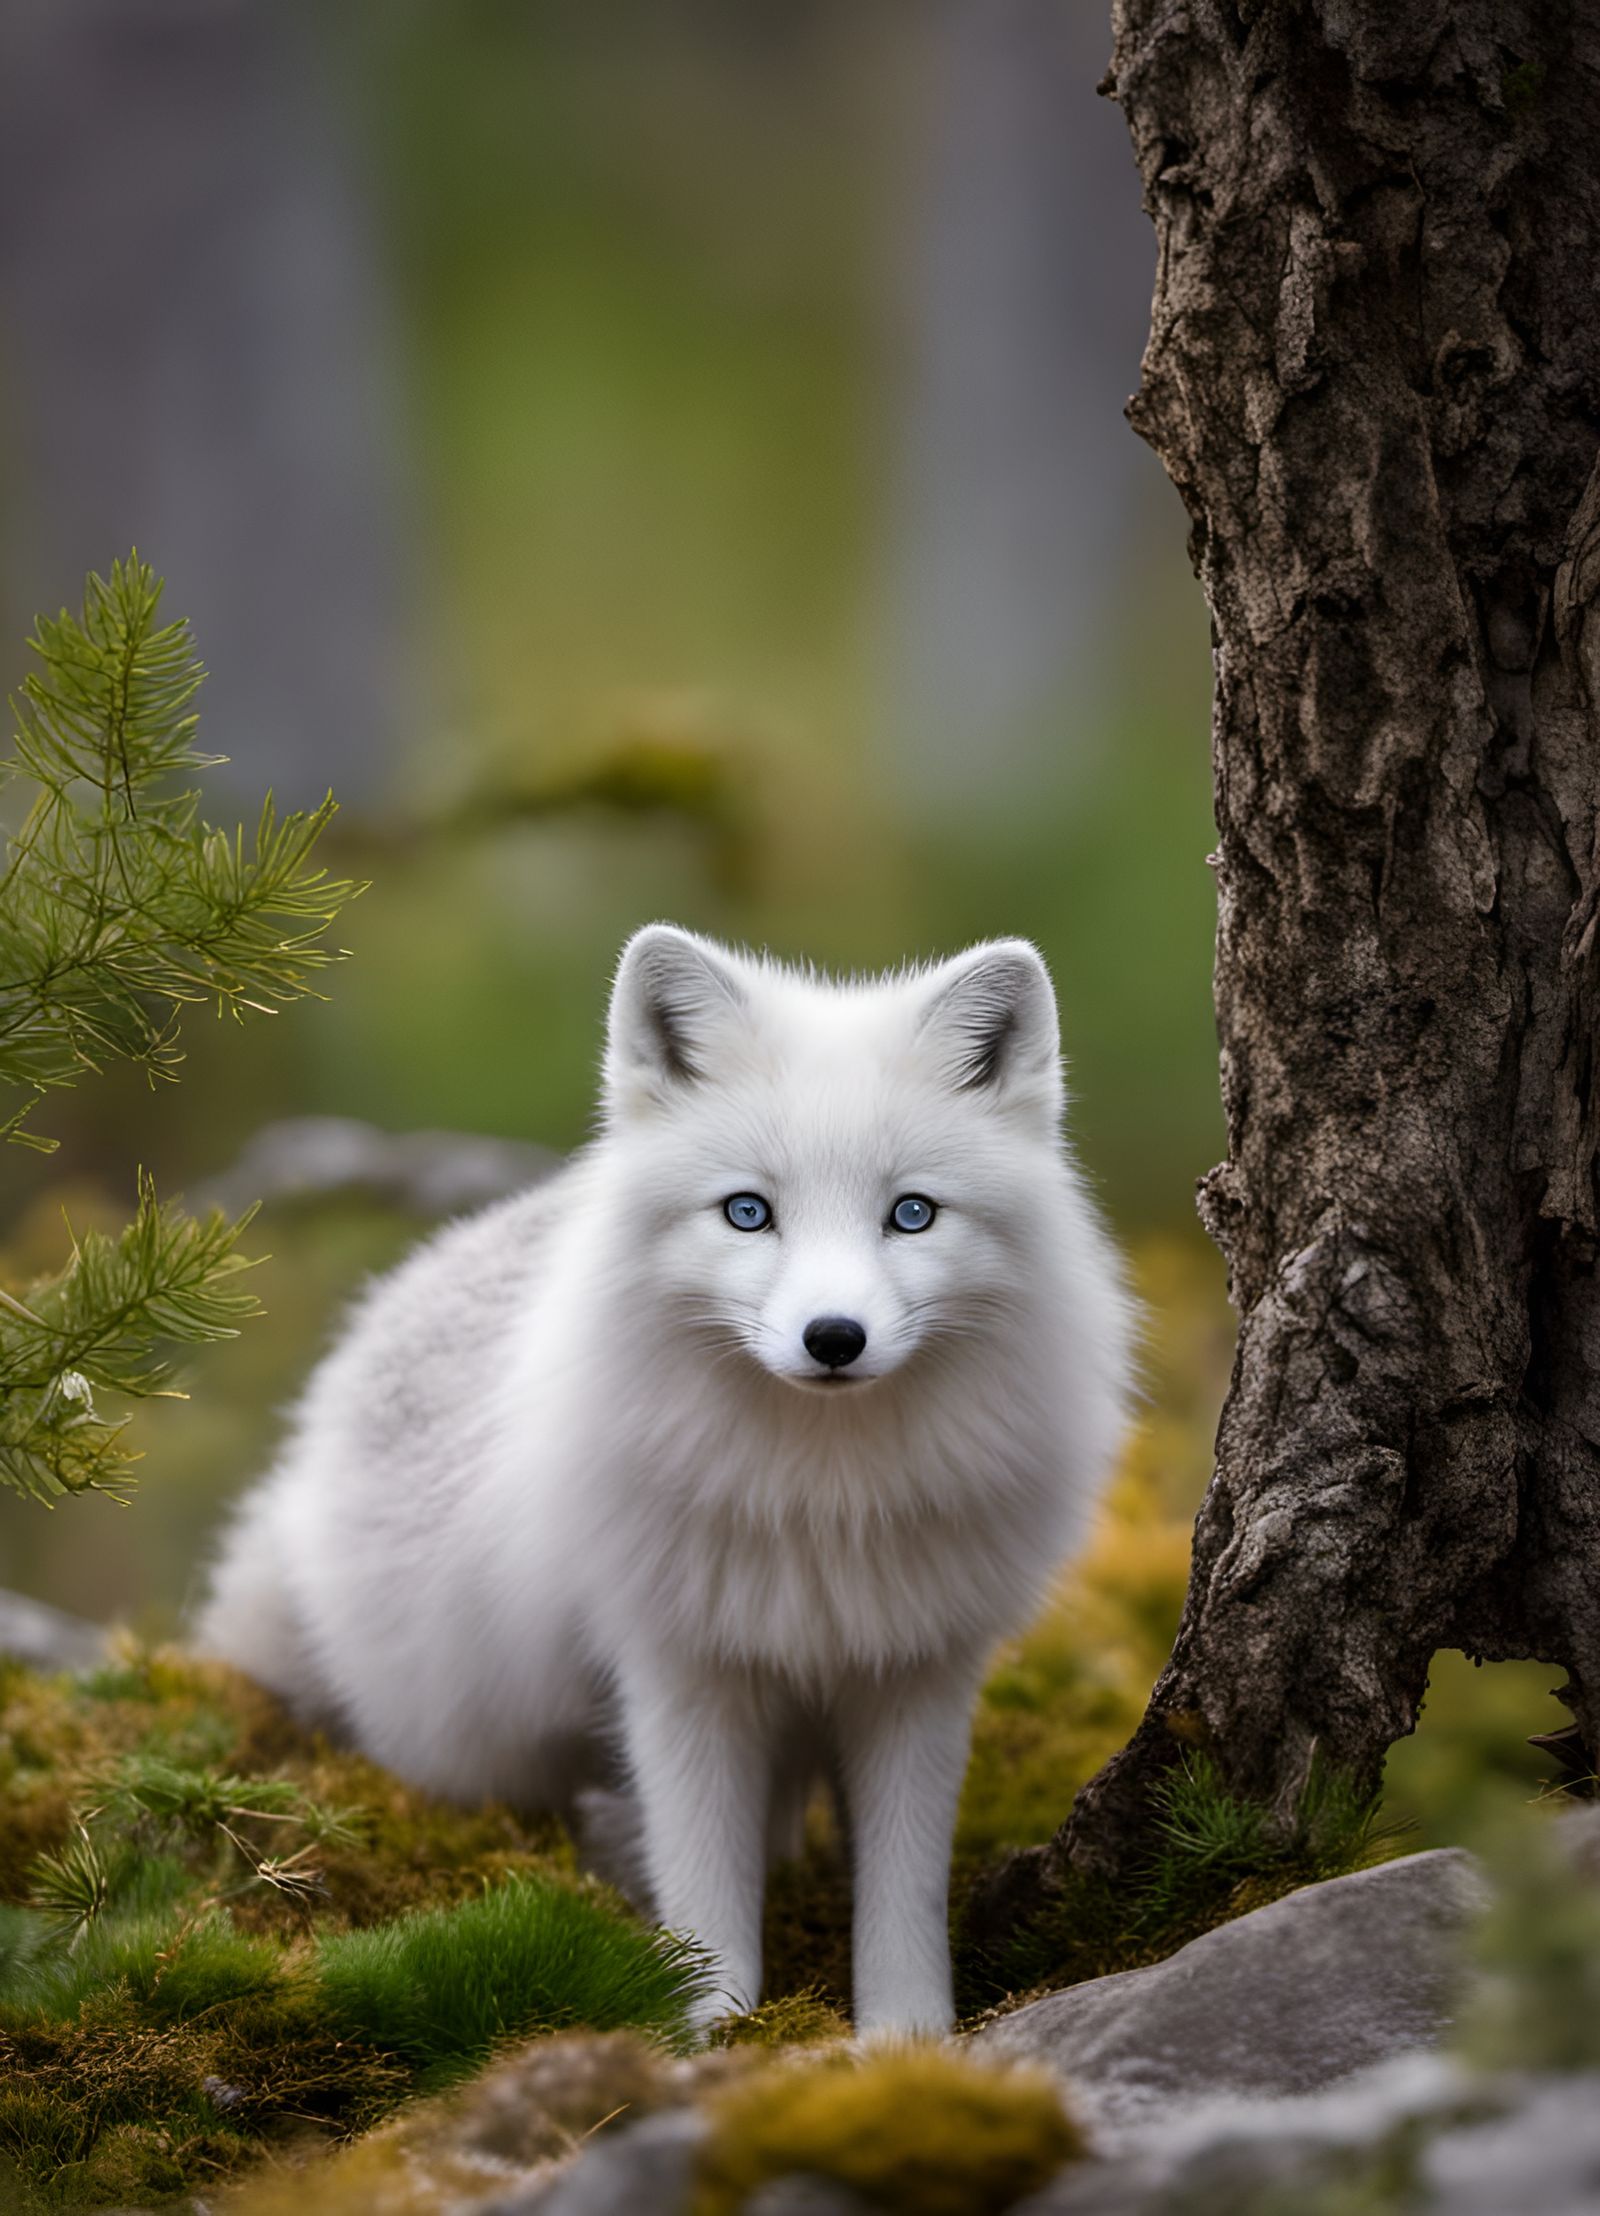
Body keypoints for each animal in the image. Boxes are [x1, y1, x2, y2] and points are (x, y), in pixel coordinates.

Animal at [196, 925, 1135, 2036]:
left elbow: (902, 1889)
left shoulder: (916, 1671)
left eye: (911, 1214)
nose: (833, 1338)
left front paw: (907, 2036)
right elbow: (704, 1884)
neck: (824, 1498)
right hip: (458, 1722)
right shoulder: (681, 1669)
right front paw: (712, 2028)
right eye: (748, 1212)